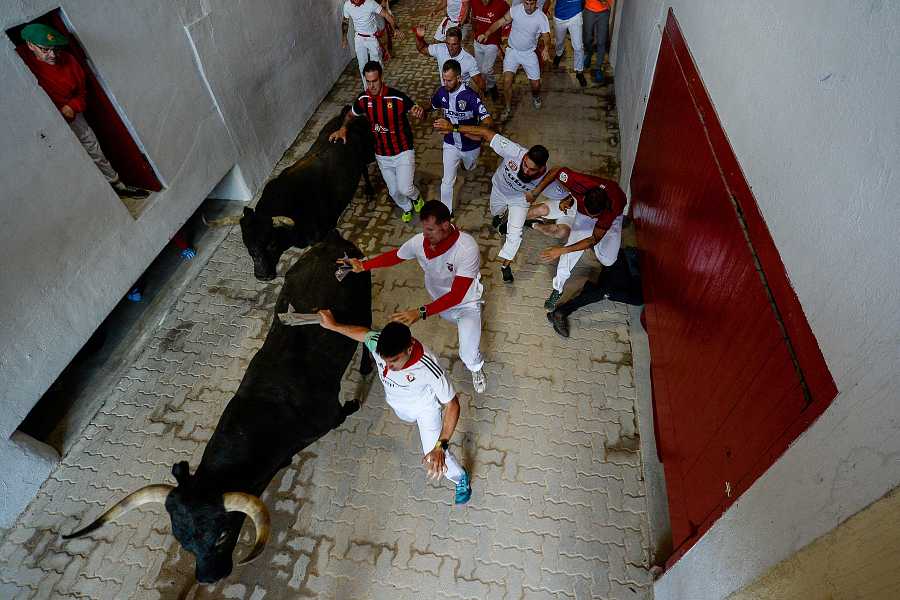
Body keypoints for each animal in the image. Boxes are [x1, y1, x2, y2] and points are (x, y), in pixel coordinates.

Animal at [64, 232, 372, 584]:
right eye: (182, 540)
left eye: (222, 535)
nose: (207, 578)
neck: (264, 416)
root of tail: (333, 242)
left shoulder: (329, 417)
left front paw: (354, 401)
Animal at [208, 104, 376, 280]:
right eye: (247, 244)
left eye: (271, 244)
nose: (261, 275)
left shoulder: (323, 232)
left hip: (367, 155)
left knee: (365, 169)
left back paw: (370, 191)